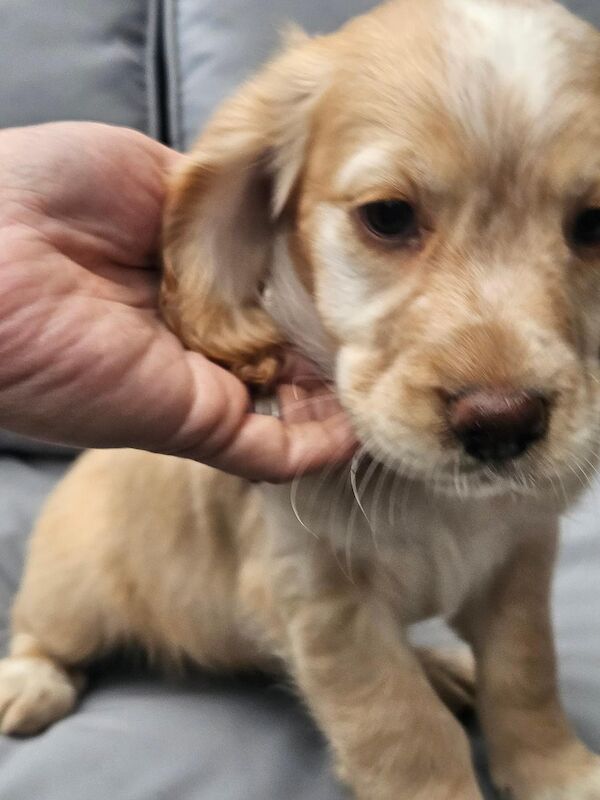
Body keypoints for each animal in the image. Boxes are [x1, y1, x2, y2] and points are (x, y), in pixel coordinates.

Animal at [1, 1, 600, 800]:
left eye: (595, 225)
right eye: (388, 216)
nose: (501, 424)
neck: (432, 499)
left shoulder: (522, 556)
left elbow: (527, 674)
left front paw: (557, 773)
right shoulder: (321, 599)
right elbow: (404, 729)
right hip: (74, 584)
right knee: (45, 631)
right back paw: (29, 681)